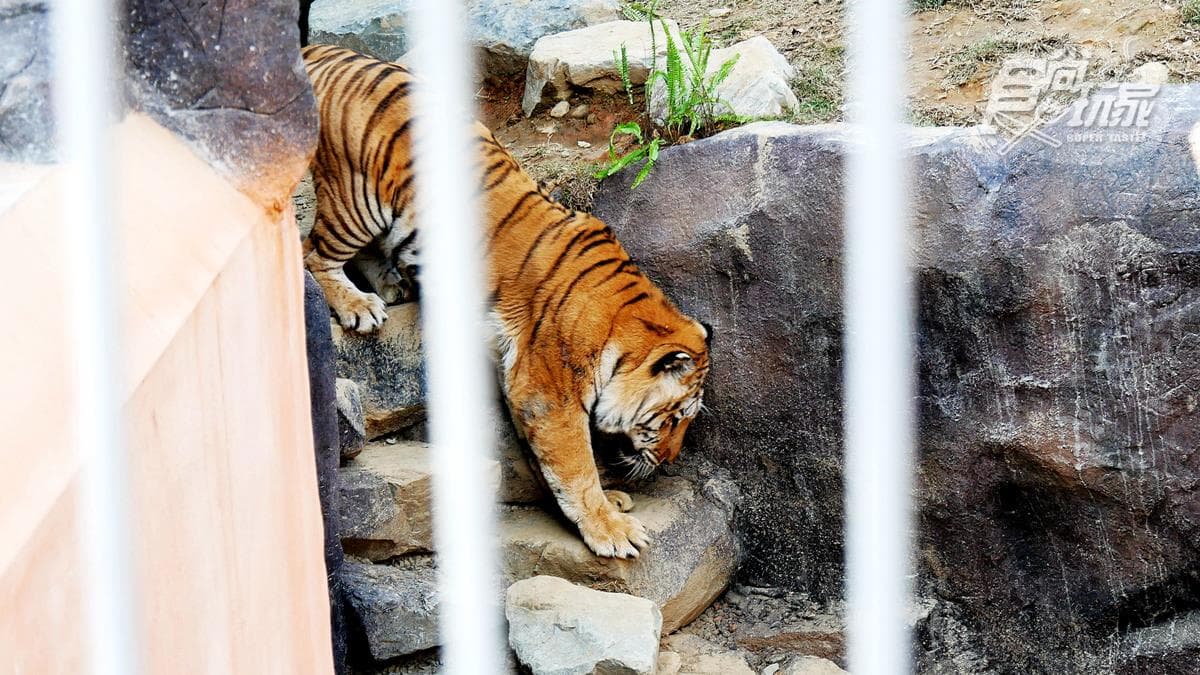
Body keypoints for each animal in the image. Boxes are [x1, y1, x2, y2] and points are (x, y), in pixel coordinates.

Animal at [301, 45, 711, 559]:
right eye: (676, 417)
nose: (671, 462)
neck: (622, 328)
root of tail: (325, 50)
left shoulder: (519, 379)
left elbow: (547, 463)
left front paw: (606, 503)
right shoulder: (548, 393)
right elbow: (575, 467)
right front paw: (610, 529)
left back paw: (391, 287)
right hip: (354, 201)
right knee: (314, 253)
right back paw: (360, 306)